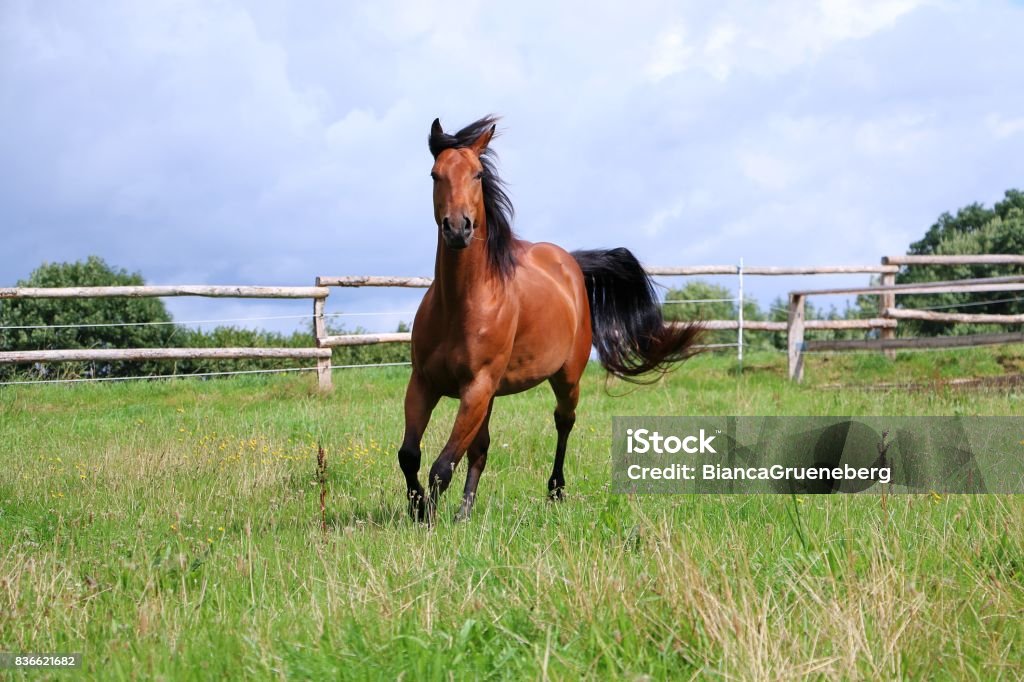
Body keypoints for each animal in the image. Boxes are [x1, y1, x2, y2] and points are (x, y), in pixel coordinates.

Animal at [395, 116, 700, 520]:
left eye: (477, 174)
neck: (460, 304)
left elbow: (441, 467)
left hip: (566, 377)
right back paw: (466, 512)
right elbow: (409, 455)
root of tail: (570, 263)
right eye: (435, 174)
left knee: (563, 421)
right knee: (480, 449)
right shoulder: (425, 383)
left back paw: (555, 490)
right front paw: (419, 510)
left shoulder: (476, 388)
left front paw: (427, 518)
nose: (458, 227)